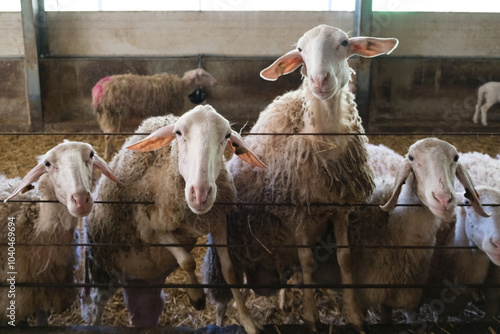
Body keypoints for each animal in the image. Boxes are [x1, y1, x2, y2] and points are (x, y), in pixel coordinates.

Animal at [83, 104, 266, 334]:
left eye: (227, 136)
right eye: (178, 133)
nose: (200, 194)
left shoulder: (217, 221)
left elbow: (230, 271)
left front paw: (247, 320)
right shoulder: (152, 229)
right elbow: (187, 261)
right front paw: (196, 297)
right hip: (102, 265)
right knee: (95, 303)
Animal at [202, 24, 398, 332]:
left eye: (344, 43)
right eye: (300, 50)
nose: (318, 79)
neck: (325, 144)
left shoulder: (340, 209)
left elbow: (345, 259)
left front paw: (355, 315)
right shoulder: (296, 214)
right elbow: (306, 263)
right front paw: (311, 317)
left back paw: (281, 301)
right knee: (231, 274)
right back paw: (244, 319)